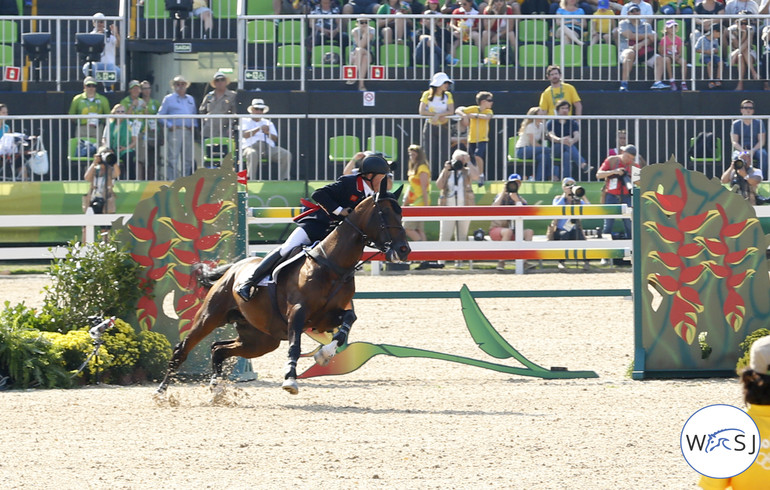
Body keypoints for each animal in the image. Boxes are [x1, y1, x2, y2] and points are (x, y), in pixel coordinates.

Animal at [153, 189, 412, 396]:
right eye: (384, 214)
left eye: (400, 214)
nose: (404, 250)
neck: (333, 265)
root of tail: (233, 269)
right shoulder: (298, 312)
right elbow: (295, 345)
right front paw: (290, 380)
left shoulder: (326, 317)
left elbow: (348, 322)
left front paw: (324, 354)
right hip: (210, 317)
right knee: (183, 349)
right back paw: (161, 392)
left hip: (260, 339)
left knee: (219, 349)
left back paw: (216, 387)